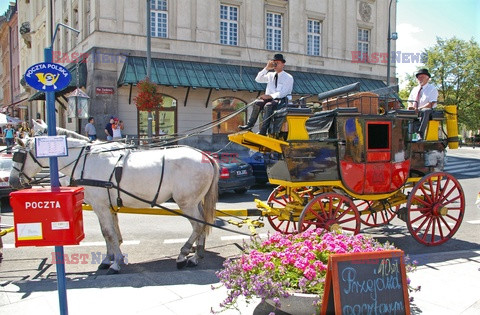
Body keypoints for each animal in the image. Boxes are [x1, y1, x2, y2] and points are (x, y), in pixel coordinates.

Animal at [9, 123, 219, 274]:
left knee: (198, 225)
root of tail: (205, 156)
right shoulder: (106, 206)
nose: (12, 181)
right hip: (193, 201)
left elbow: (108, 233)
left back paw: (184, 255)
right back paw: (197, 255)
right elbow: (110, 233)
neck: (86, 160)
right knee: (202, 224)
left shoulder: (100, 206)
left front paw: (115, 263)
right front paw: (108, 258)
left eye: (18, 156)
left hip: (186, 202)